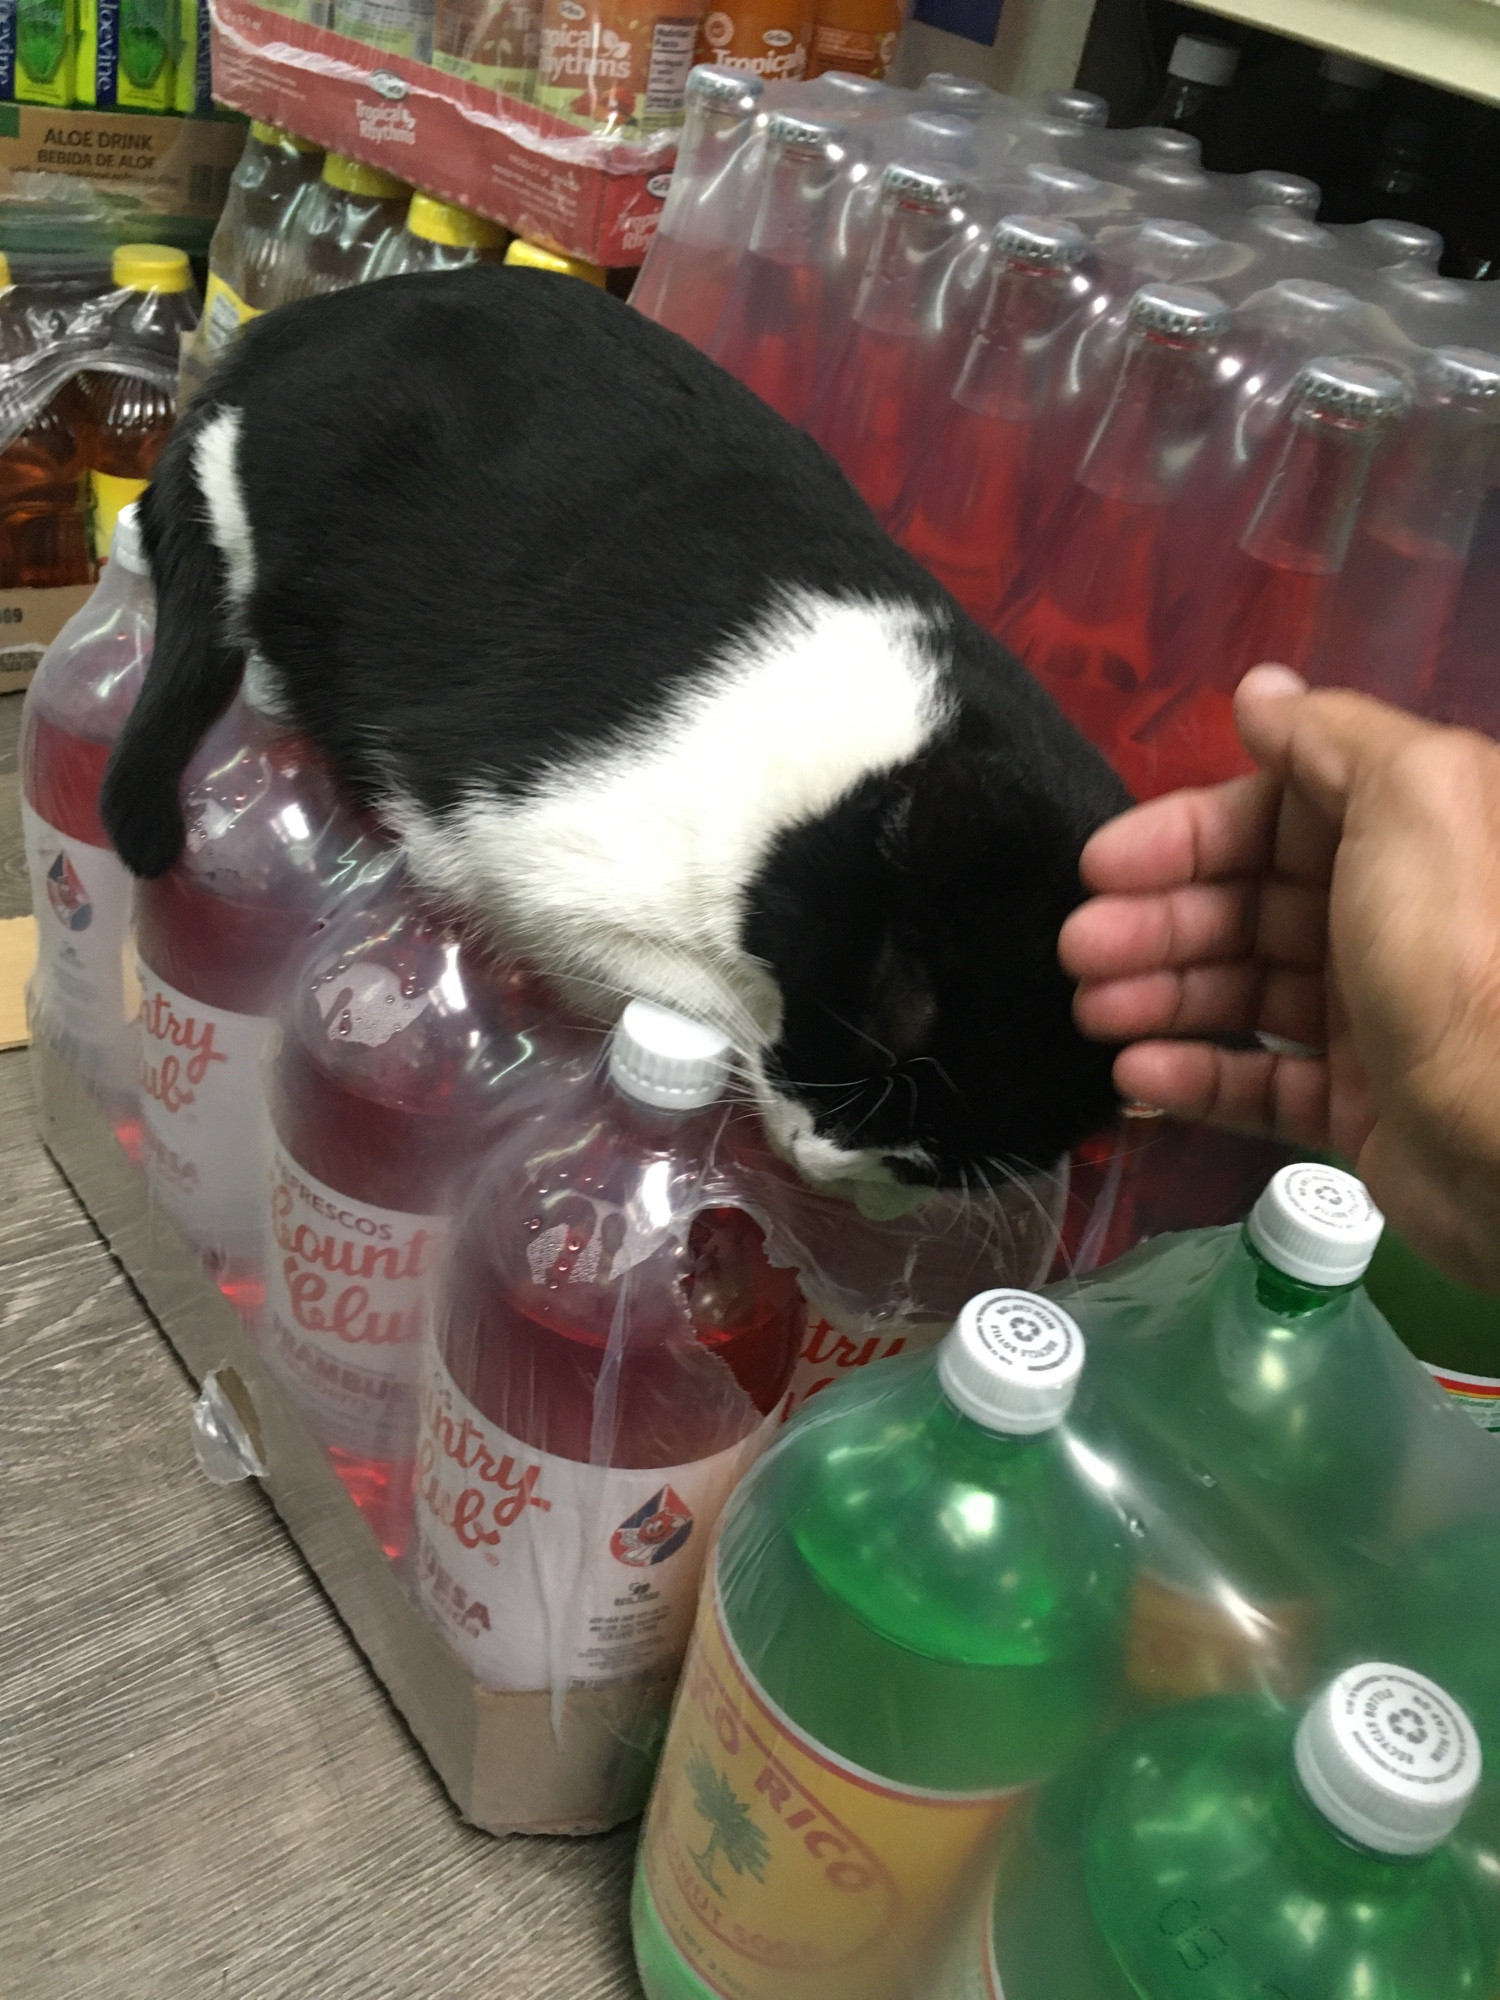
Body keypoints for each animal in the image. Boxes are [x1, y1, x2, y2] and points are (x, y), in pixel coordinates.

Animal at [100, 260, 1136, 1208]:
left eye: (952, 1158)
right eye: (891, 1018)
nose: (821, 1161)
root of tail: (295, 326)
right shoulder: (528, 860)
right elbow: (683, 991)